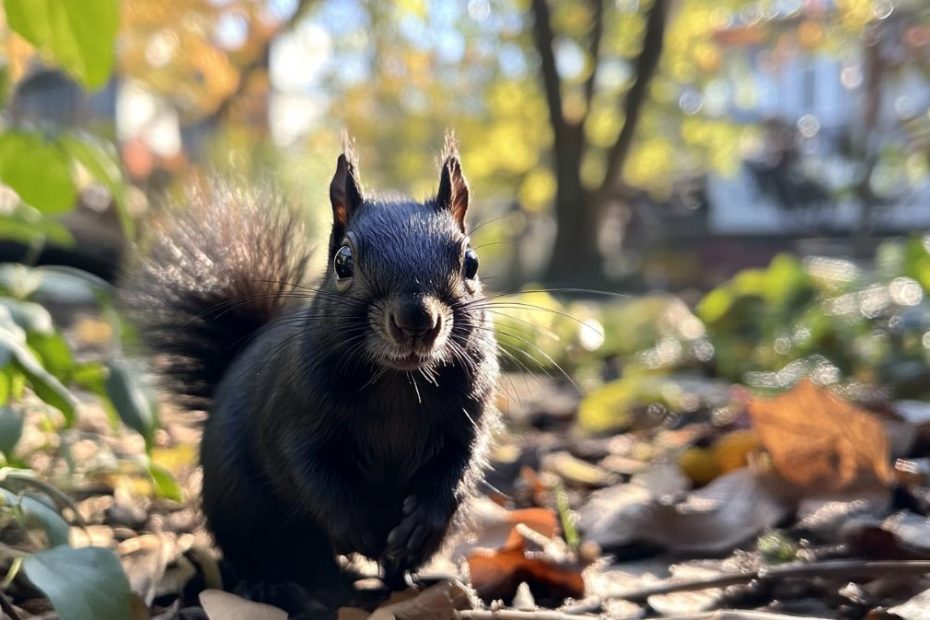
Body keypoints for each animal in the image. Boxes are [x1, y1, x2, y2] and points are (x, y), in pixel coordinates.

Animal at [125, 137, 500, 616]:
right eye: (343, 263)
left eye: (471, 262)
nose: (416, 319)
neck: (398, 382)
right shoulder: (293, 417)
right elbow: (306, 471)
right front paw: (358, 528)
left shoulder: (469, 417)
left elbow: (458, 467)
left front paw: (420, 523)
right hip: (246, 517)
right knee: (279, 559)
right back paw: (276, 588)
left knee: (391, 567)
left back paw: (411, 580)